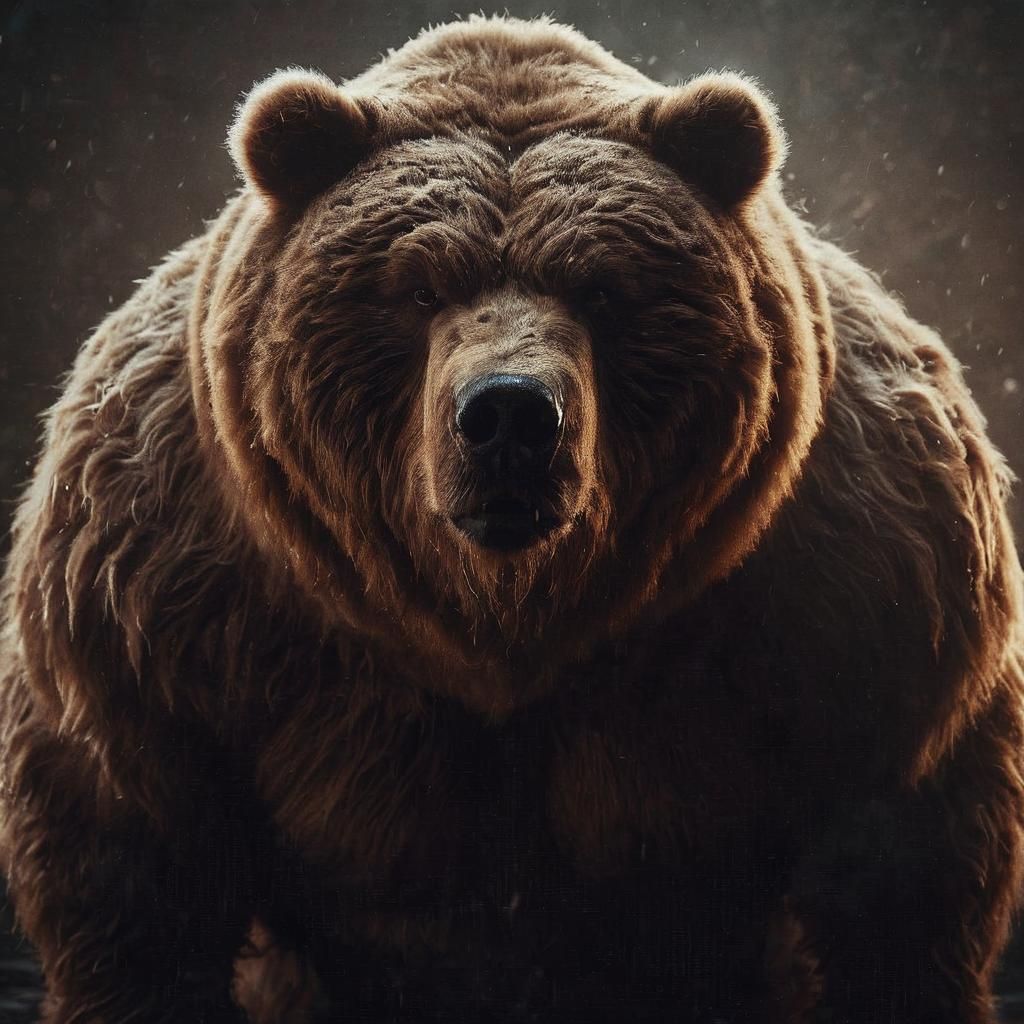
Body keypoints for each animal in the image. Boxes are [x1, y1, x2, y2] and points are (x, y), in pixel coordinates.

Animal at [1, 12, 1023, 1024]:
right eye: (417, 288)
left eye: (604, 288)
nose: (509, 416)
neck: (498, 623)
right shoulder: (168, 614)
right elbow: (136, 871)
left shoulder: (863, 606)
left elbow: (899, 874)